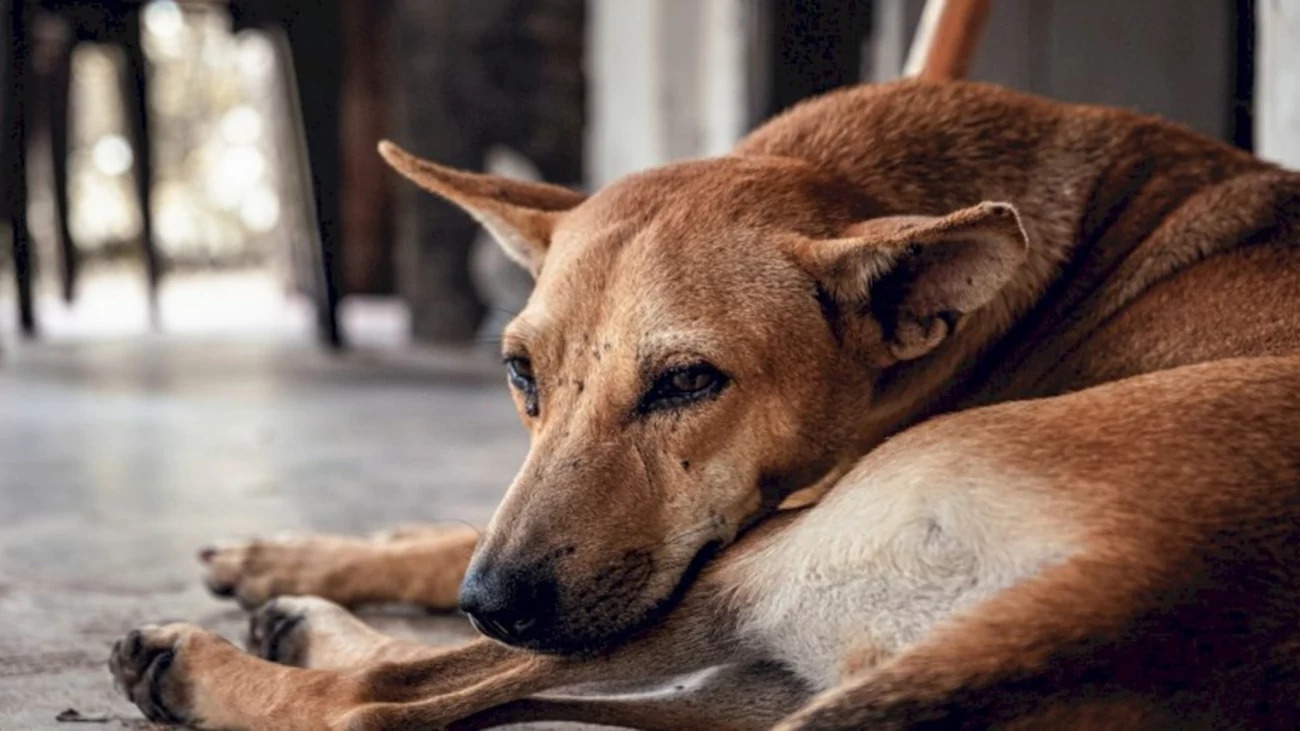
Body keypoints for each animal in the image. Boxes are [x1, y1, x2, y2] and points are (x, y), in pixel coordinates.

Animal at [109, 80, 1300, 728]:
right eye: (520, 373)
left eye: (688, 381)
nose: (492, 600)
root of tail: (1132, 597)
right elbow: (444, 534)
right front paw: (307, 550)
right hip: (753, 668)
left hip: (745, 565)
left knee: (392, 695)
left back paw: (211, 663)